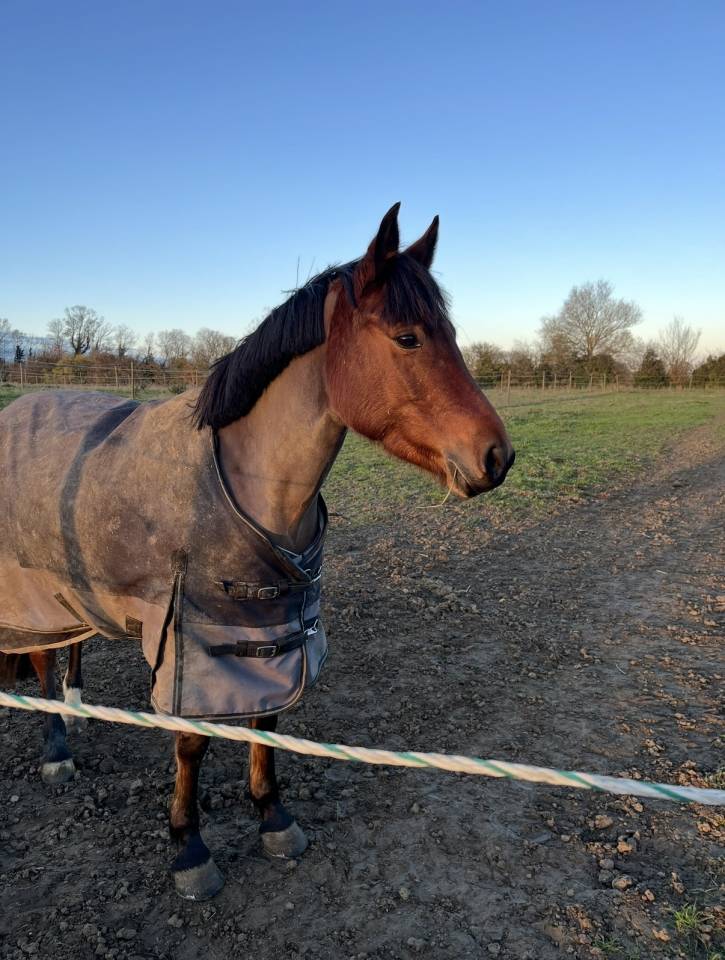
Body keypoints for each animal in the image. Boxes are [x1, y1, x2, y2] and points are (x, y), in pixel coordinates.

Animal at [0, 203, 514, 900]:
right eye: (408, 338)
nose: (497, 456)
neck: (249, 483)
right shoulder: (191, 644)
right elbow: (191, 744)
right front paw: (189, 848)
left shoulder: (273, 630)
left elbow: (269, 722)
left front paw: (273, 816)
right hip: (32, 588)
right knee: (42, 656)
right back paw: (57, 750)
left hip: (71, 575)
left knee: (69, 645)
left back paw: (77, 713)